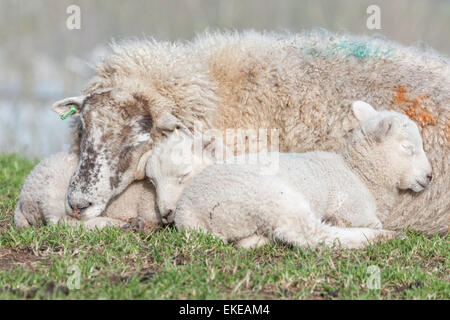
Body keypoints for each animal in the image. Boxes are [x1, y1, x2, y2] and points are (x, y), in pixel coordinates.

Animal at [147, 101, 432, 249]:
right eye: (408, 147)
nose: (429, 176)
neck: (360, 174)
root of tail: (189, 212)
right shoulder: (354, 208)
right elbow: (367, 221)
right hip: (274, 198)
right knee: (312, 235)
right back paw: (384, 237)